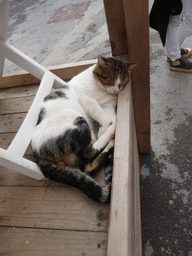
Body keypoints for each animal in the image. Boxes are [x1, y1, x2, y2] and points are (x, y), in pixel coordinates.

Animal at [31, 55, 136, 204]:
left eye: (121, 83)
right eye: (110, 81)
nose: (116, 91)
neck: (103, 92)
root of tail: (37, 155)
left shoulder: (108, 106)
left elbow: (110, 117)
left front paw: (106, 127)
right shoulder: (88, 101)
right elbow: (102, 116)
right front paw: (106, 128)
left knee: (87, 167)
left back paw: (110, 144)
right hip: (79, 122)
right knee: (89, 152)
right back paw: (111, 134)